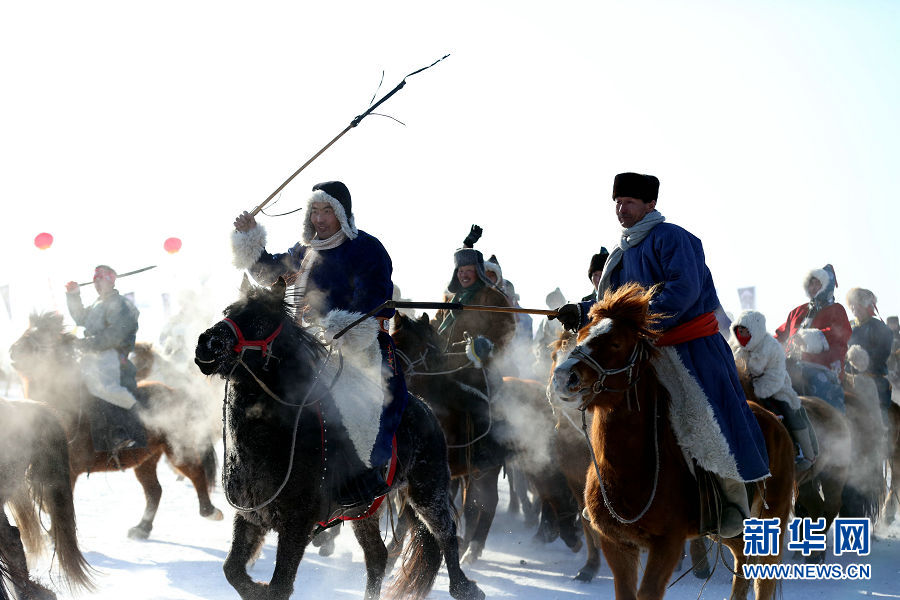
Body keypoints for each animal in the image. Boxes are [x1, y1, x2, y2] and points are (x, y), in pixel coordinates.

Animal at [9, 312, 223, 540]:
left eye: (40, 338)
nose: (12, 350)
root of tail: (177, 393)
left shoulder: (69, 472)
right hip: (146, 459)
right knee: (154, 491)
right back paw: (142, 528)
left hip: (177, 449)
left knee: (195, 472)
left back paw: (210, 511)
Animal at [194, 278, 483, 600]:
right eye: (229, 311)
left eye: (260, 320)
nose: (207, 343)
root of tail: (426, 408)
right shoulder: (251, 518)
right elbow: (232, 570)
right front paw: (254, 587)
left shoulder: (296, 526)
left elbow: (279, 586)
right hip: (365, 510)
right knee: (377, 556)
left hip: (427, 491)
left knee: (445, 534)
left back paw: (464, 587)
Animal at [550, 283, 795, 600]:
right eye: (580, 336)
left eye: (615, 343)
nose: (563, 377)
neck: (631, 469)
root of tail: (776, 421)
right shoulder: (617, 544)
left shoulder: (667, 544)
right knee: (743, 558)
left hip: (772, 517)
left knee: (764, 576)